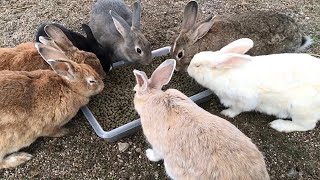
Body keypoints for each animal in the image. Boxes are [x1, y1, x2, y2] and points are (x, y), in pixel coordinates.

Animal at [0, 41, 104, 169]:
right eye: (92, 81)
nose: (103, 85)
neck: (69, 87)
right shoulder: (47, 126)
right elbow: (53, 132)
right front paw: (66, 131)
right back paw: (21, 157)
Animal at [186, 38, 320, 133]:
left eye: (198, 66)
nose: (188, 69)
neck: (224, 73)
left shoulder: (246, 100)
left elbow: (237, 109)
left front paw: (226, 113)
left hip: (300, 109)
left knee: (306, 125)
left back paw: (279, 125)